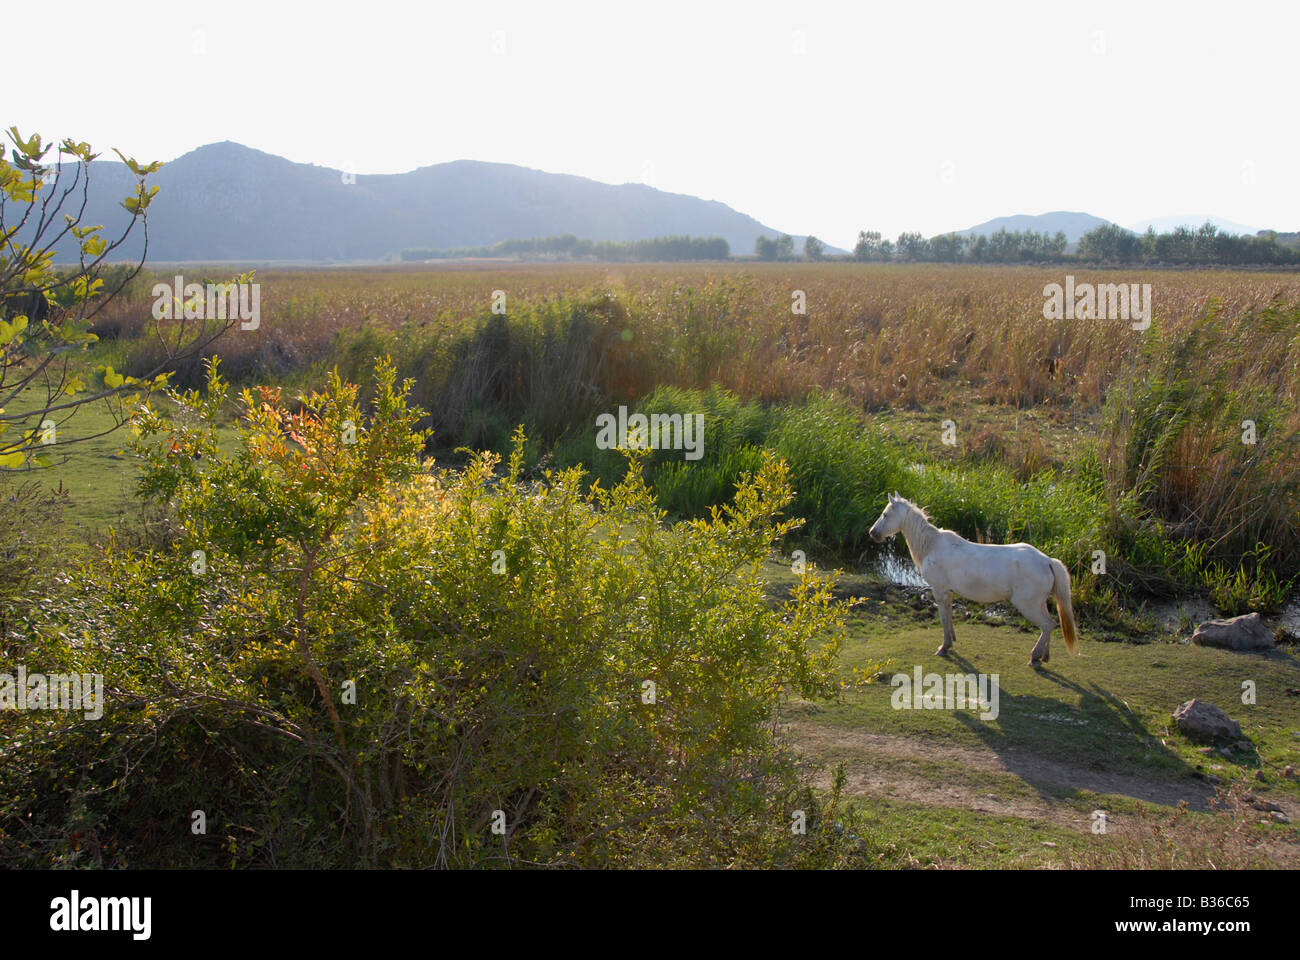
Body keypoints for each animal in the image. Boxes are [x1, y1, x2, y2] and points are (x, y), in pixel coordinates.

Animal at [869, 493, 1078, 666]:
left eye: (885, 515)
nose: (872, 533)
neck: (932, 546)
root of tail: (1047, 561)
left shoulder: (939, 589)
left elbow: (943, 618)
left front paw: (944, 647)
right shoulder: (948, 592)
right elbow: (949, 616)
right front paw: (951, 641)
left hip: (1028, 605)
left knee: (1047, 625)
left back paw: (1034, 657)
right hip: (1039, 603)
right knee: (1051, 624)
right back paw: (1044, 656)